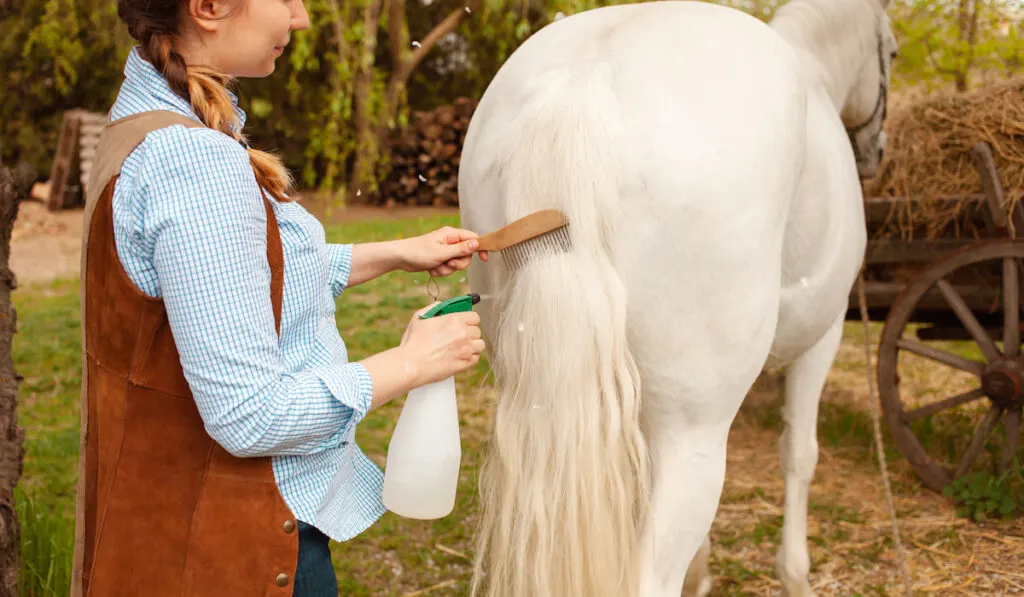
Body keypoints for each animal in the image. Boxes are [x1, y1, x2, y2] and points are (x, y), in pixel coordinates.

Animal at [456, 1, 897, 597]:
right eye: (892, 51)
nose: (876, 151)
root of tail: (582, 81)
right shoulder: (821, 339)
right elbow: (799, 455)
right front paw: (795, 575)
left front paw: (701, 573)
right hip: (694, 433)